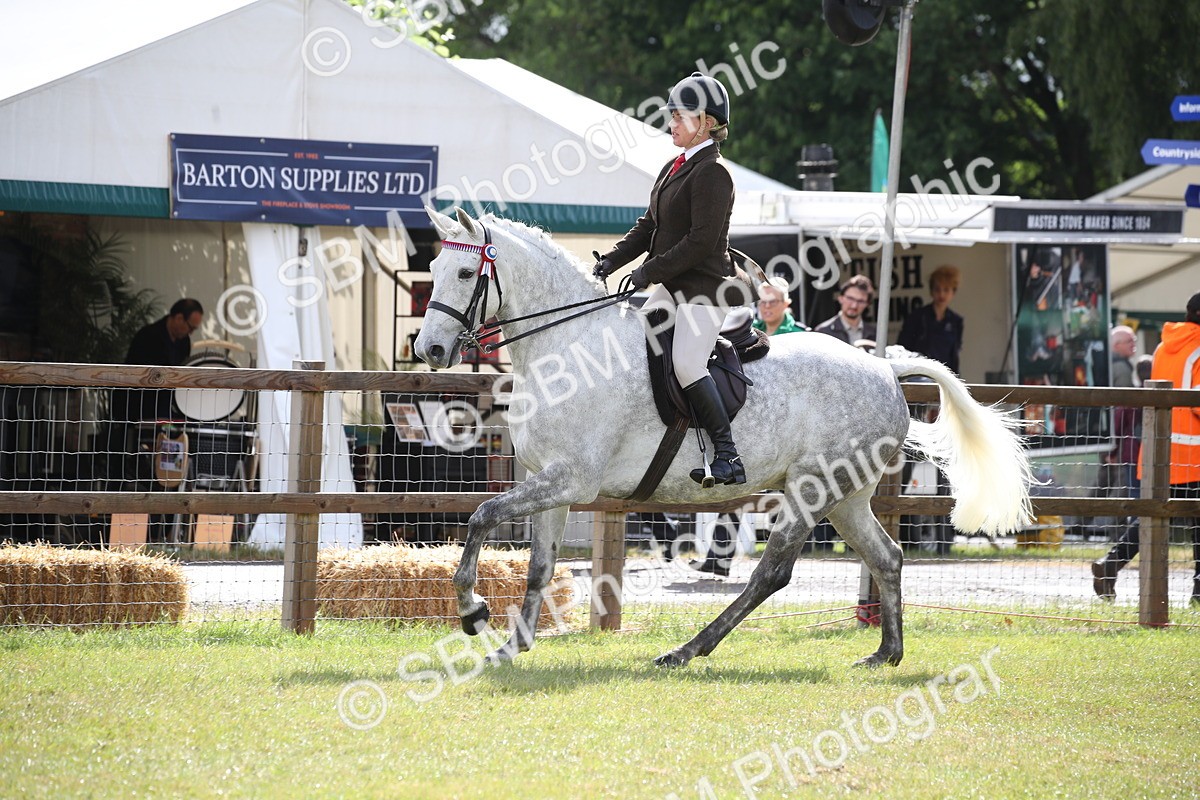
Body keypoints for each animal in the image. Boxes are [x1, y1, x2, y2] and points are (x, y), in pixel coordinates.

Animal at [414, 206, 1032, 669]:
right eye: (435, 267)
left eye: (466, 275)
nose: (430, 350)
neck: (569, 347)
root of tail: (884, 367)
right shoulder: (552, 483)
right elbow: (538, 565)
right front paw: (510, 647)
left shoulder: (571, 479)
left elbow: (480, 517)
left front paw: (472, 611)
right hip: (847, 495)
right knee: (888, 556)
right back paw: (885, 653)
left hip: (811, 490)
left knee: (773, 570)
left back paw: (688, 650)